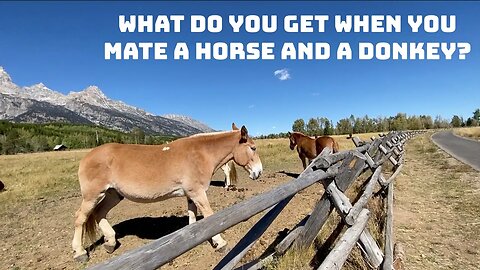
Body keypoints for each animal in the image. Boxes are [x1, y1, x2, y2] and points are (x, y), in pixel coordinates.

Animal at [70, 124, 262, 262]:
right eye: (253, 148)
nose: (259, 172)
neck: (200, 154)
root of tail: (87, 157)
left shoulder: (190, 194)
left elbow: (192, 217)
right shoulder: (198, 193)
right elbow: (209, 216)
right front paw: (220, 242)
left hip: (113, 194)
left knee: (99, 213)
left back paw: (110, 242)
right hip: (92, 195)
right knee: (80, 217)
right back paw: (80, 252)